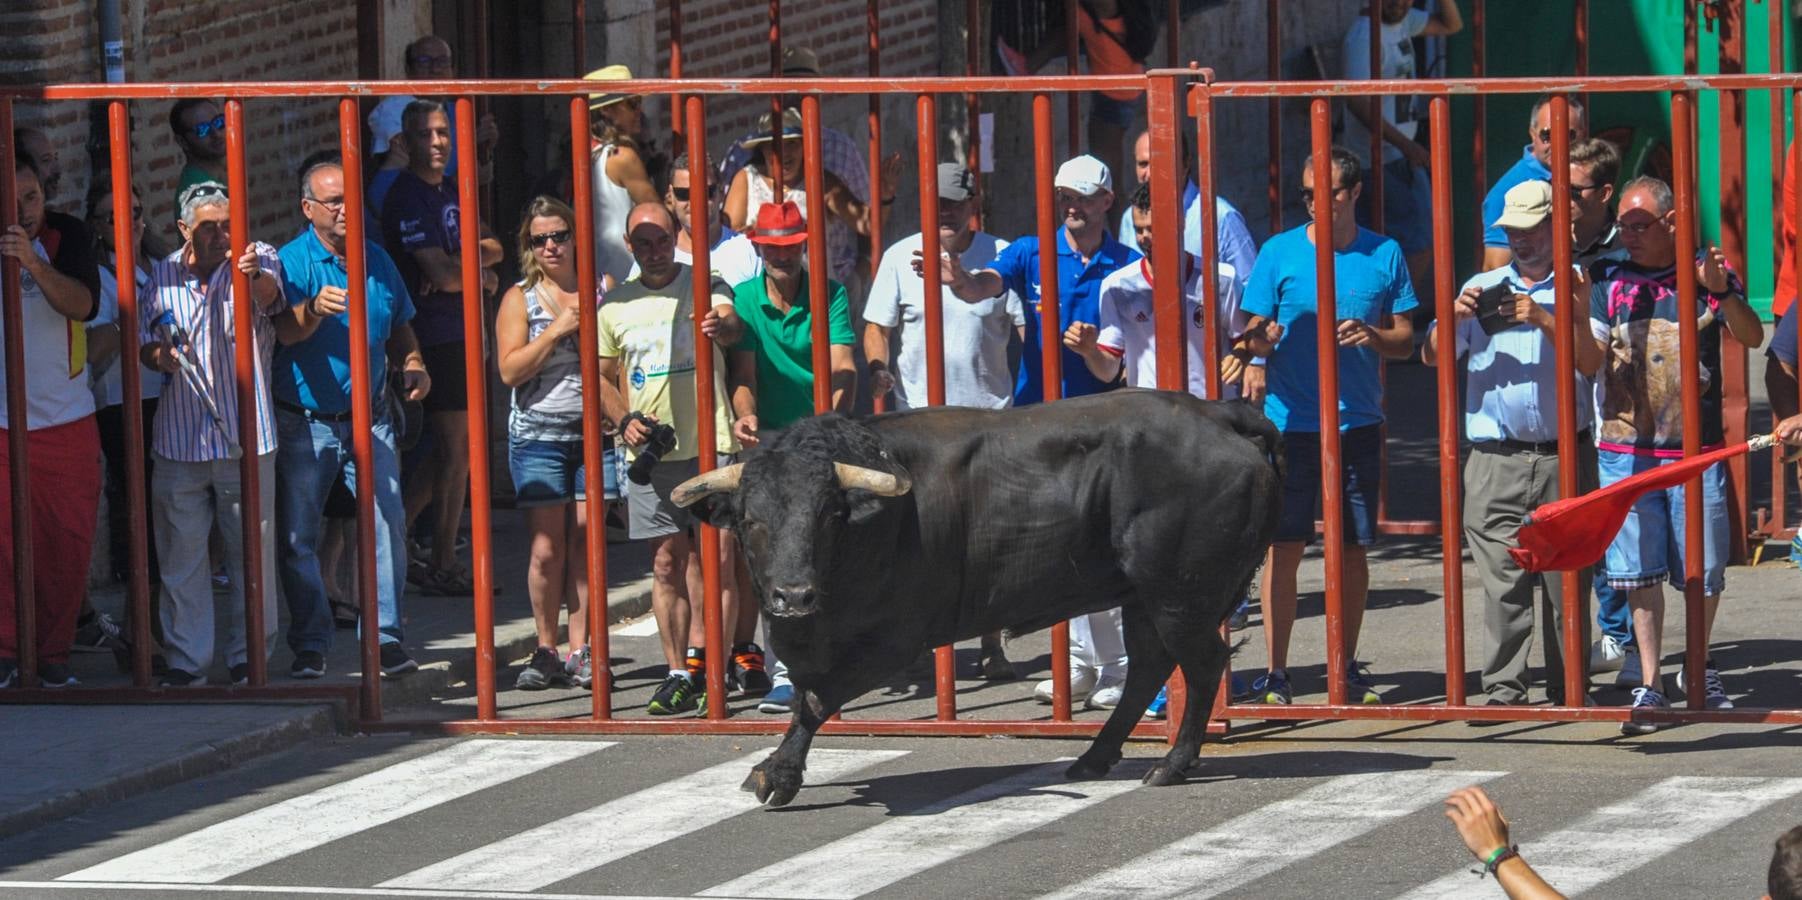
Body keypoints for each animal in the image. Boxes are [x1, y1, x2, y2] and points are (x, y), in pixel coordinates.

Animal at [673, 391, 1283, 808]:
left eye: (827, 514)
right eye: (751, 519)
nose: (793, 595)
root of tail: (1219, 414)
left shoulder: (896, 640)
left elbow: (818, 698)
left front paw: (777, 774)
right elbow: (809, 693)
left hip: (1179, 594)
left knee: (1201, 666)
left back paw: (1172, 765)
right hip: (1143, 595)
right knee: (1149, 668)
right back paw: (1094, 758)